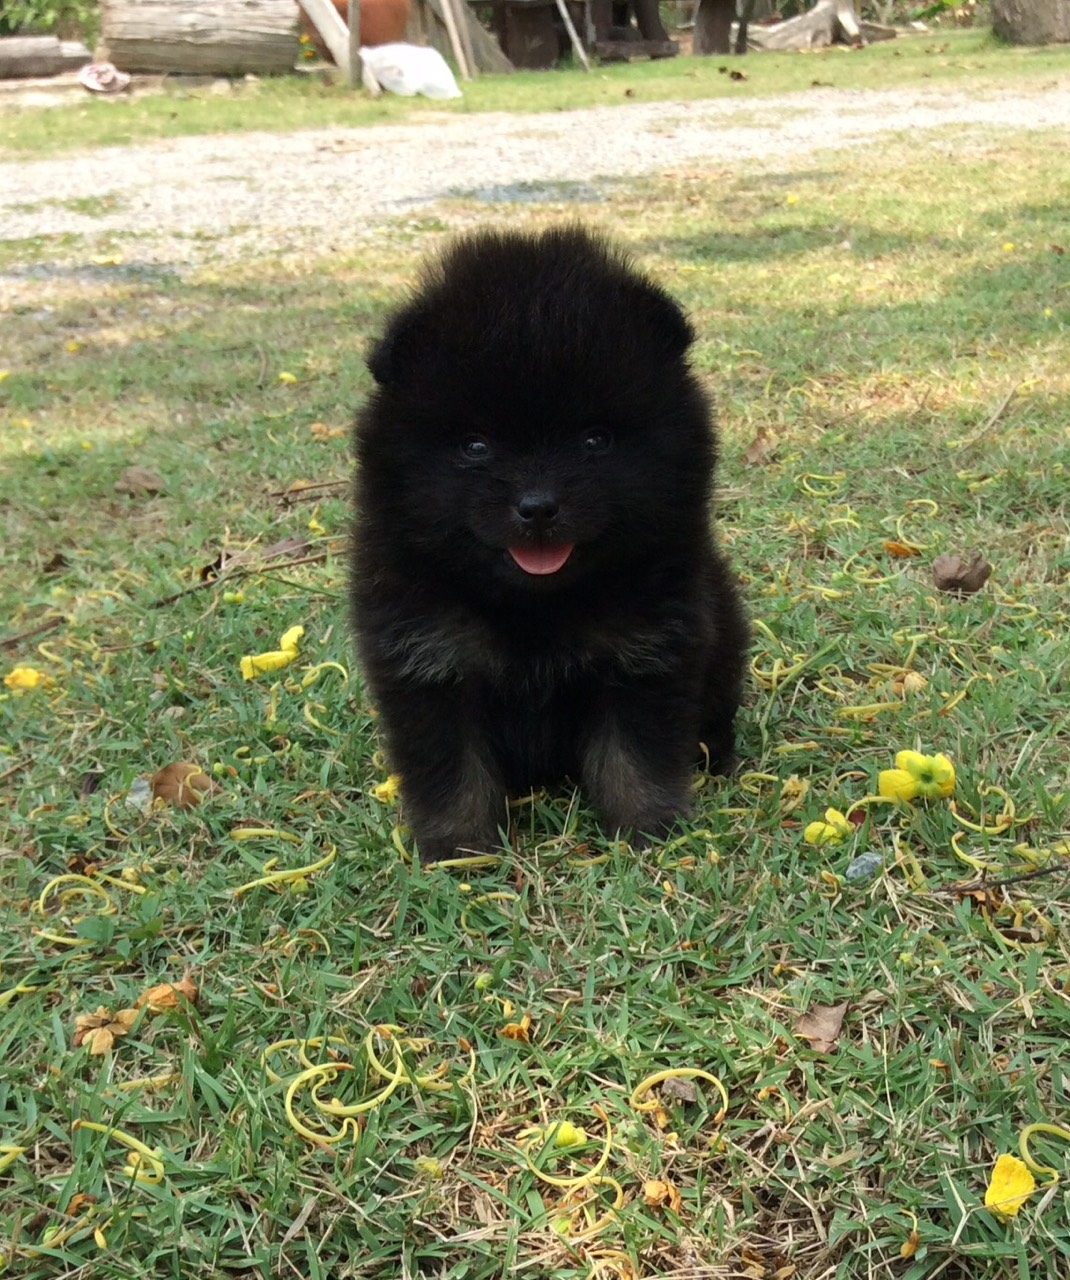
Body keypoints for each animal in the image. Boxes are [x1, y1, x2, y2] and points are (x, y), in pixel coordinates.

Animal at [351, 226, 748, 862]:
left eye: (595, 439)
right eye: (475, 446)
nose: (537, 506)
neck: (533, 607)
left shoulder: (645, 651)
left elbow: (634, 756)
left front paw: (647, 830)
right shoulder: (427, 661)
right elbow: (451, 768)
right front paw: (459, 849)